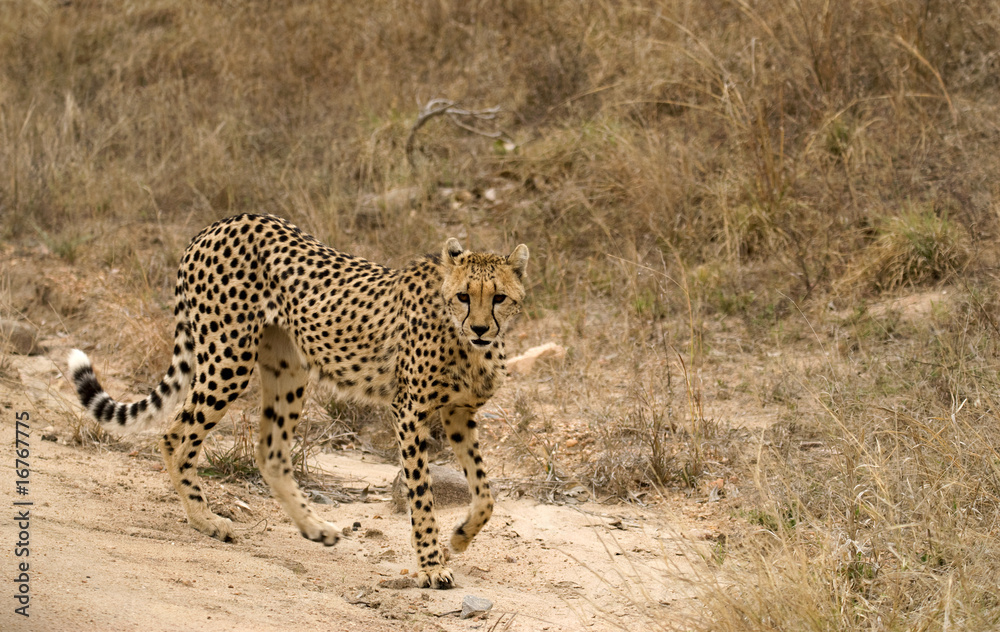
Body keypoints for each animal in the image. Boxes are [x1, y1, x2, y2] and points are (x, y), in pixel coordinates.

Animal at [68, 213, 528, 589]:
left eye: (499, 297)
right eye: (464, 296)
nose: (482, 329)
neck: (464, 340)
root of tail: (218, 224)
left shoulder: (458, 413)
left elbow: (486, 493)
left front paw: (459, 539)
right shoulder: (410, 412)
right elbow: (421, 494)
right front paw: (432, 565)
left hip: (288, 370)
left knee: (269, 452)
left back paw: (316, 529)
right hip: (228, 359)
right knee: (175, 435)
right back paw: (206, 521)